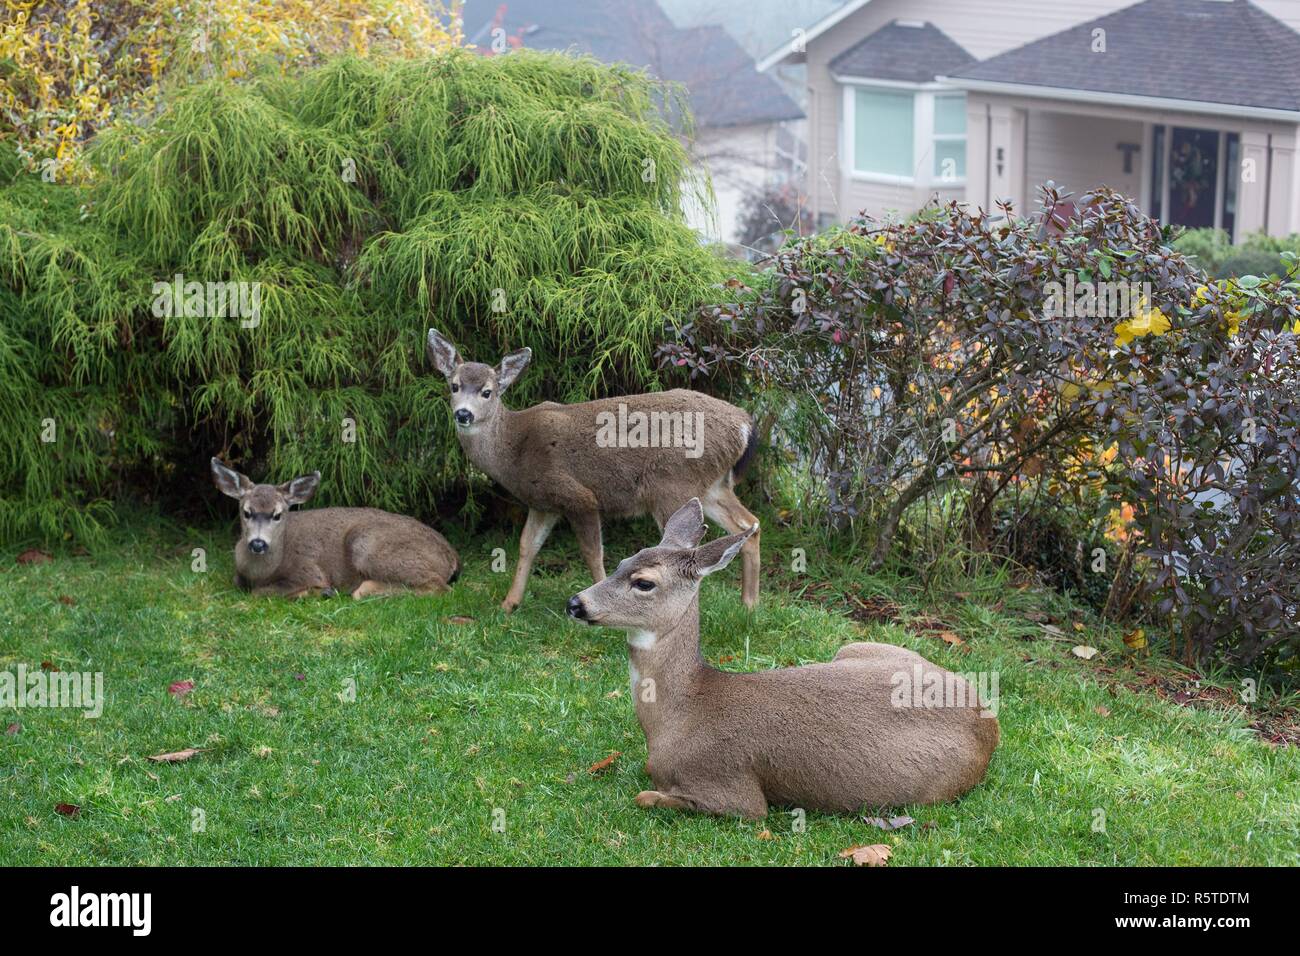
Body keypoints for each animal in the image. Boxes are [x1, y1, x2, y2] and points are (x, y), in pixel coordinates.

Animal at [210, 457, 460, 598]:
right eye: (246, 512)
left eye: (278, 515)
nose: (258, 543)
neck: (261, 572)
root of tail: (453, 557)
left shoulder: (308, 570)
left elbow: (261, 593)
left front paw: (318, 592)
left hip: (367, 544)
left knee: (438, 587)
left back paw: (363, 589)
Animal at [423, 329, 759, 613]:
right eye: (454, 386)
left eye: (487, 392)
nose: (463, 414)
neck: (514, 449)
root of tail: (744, 425)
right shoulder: (543, 502)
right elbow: (527, 546)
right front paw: (509, 604)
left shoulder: (578, 496)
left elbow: (592, 552)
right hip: (712, 485)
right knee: (749, 524)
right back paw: (749, 605)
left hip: (672, 485)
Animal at [564, 496, 998, 816]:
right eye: (620, 563)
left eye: (643, 582)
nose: (576, 603)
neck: (676, 715)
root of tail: (987, 718)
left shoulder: (734, 791)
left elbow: (647, 796)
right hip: (853, 648)